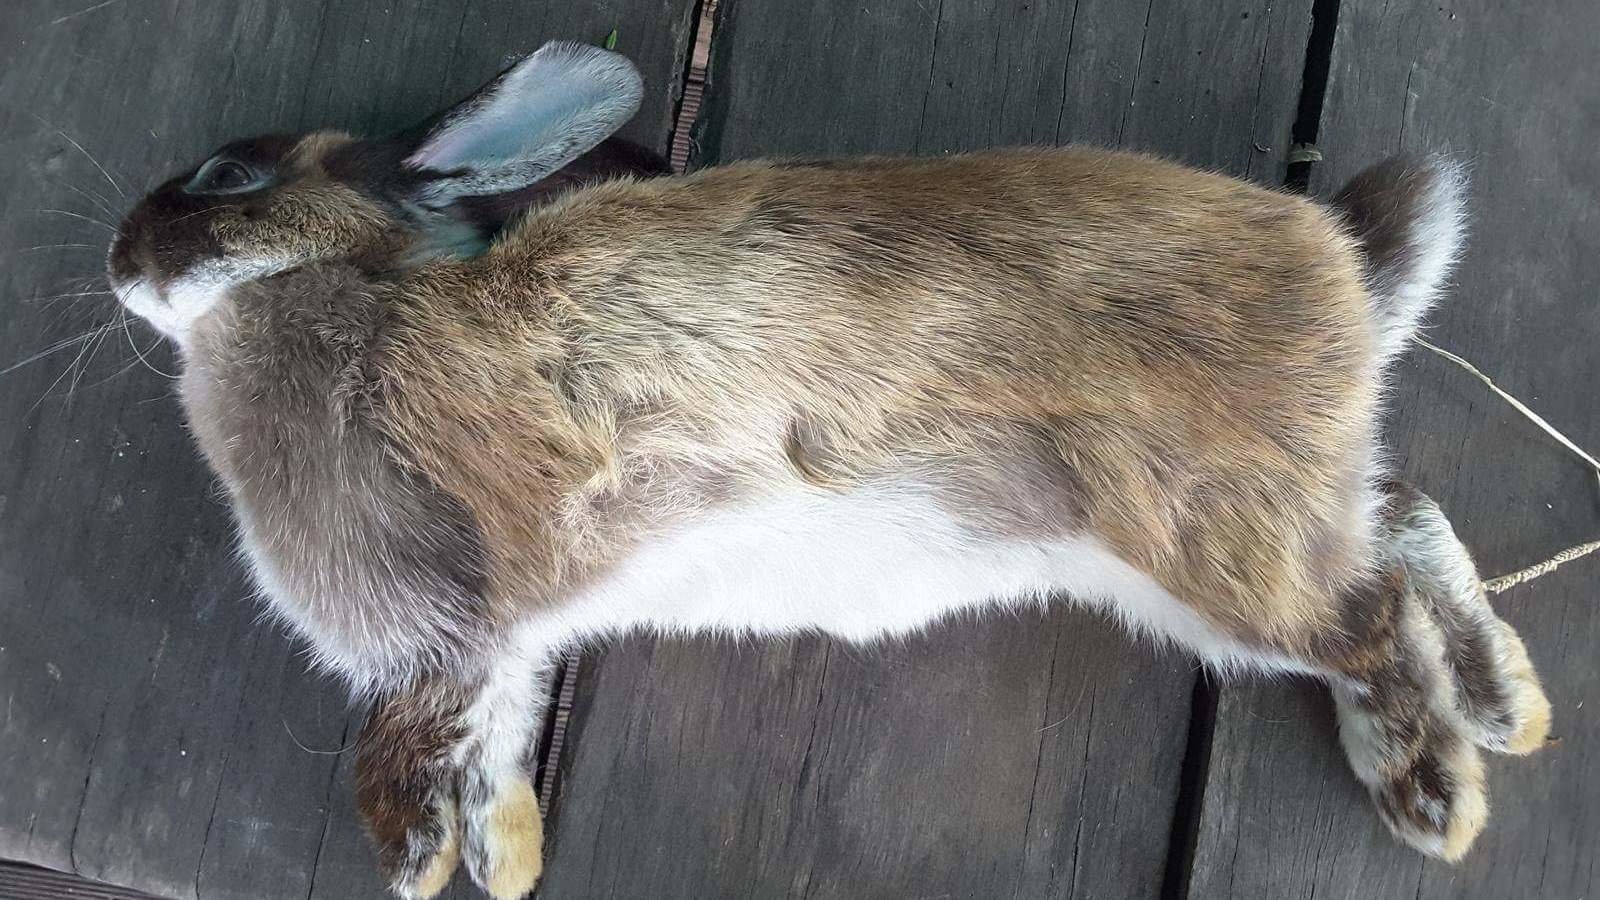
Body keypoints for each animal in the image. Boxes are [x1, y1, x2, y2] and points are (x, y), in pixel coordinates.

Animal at [106, 40, 1552, 900]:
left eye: (226, 178)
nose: (119, 260)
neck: (345, 295)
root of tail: (1344, 264)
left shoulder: (478, 588)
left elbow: (423, 725)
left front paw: (408, 849)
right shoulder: (508, 637)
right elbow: (495, 733)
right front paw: (504, 856)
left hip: (1205, 541)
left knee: (1365, 615)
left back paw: (1435, 789)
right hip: (1229, 533)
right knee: (1397, 519)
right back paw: (1505, 708)